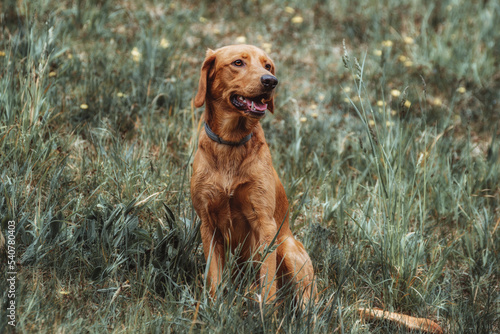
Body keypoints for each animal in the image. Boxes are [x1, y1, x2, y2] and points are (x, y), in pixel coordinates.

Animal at [191, 45, 316, 306]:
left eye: (267, 65)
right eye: (238, 63)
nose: (271, 81)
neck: (231, 143)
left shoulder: (265, 224)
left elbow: (268, 284)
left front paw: (266, 313)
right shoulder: (208, 224)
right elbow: (214, 278)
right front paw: (214, 308)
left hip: (288, 247)